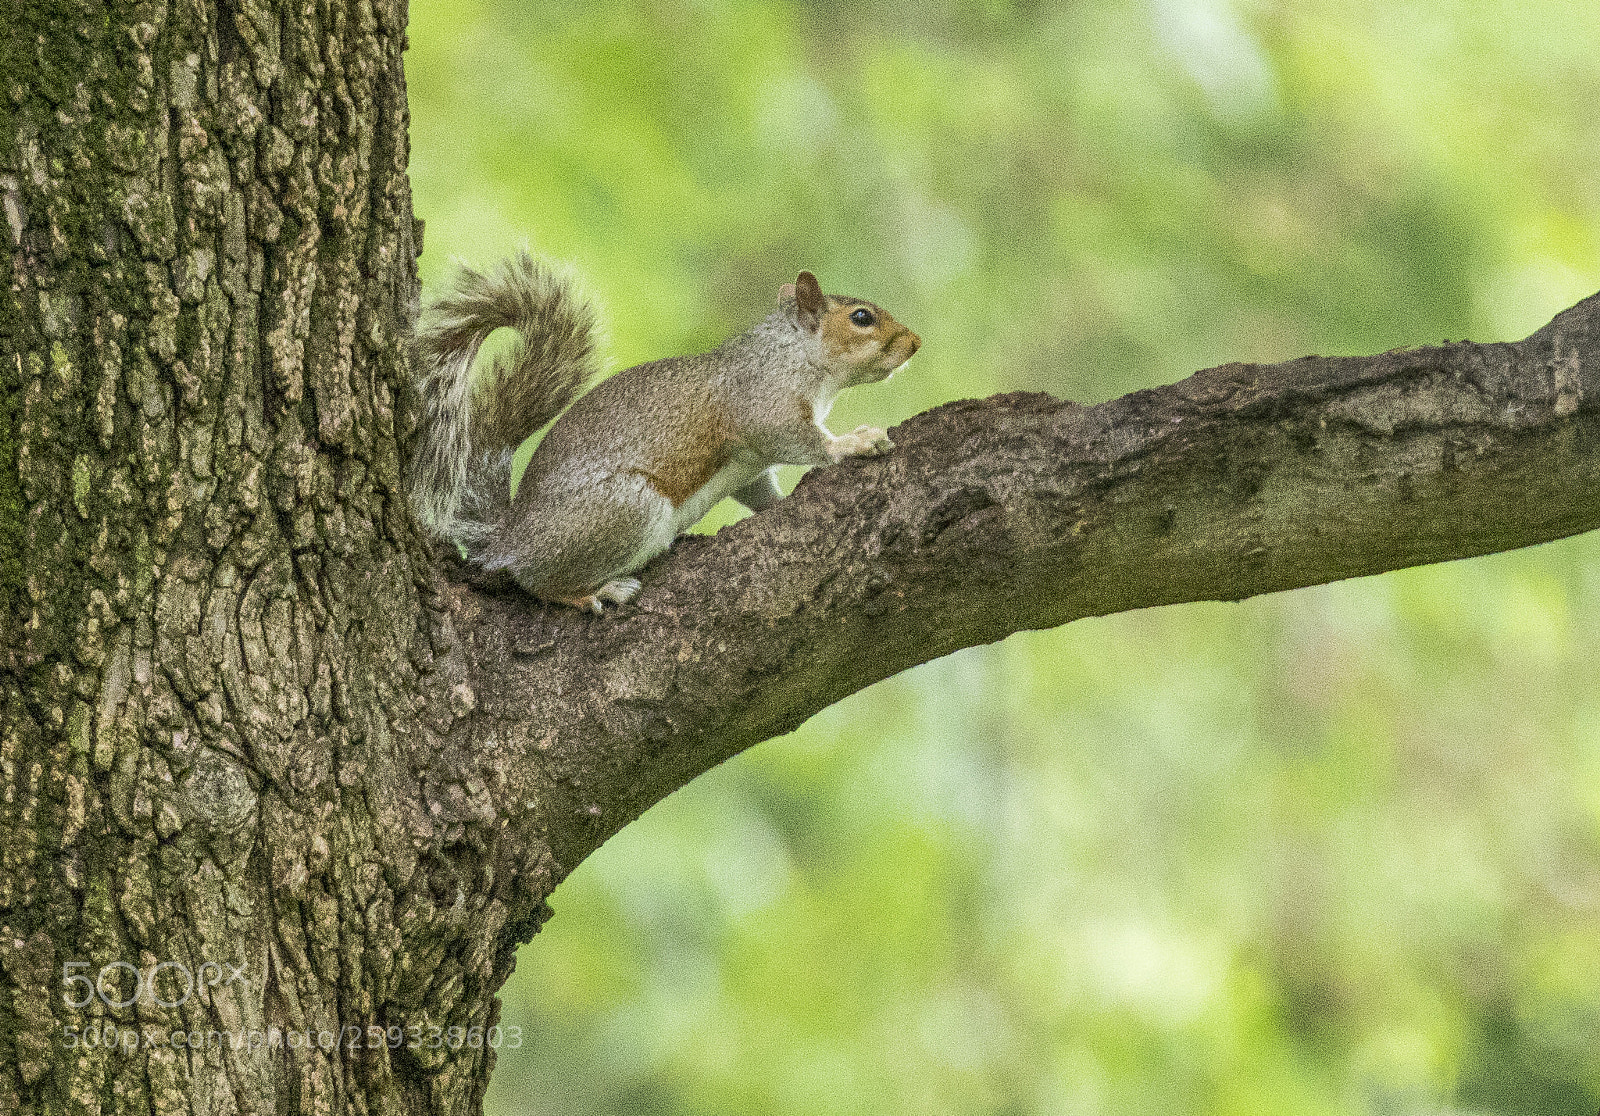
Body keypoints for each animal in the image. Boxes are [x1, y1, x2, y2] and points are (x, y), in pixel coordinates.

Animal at [409, 252, 921, 611]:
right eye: (861, 317)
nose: (916, 343)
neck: (793, 352)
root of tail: (512, 537)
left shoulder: (752, 462)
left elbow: (759, 488)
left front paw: (775, 505)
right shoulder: (762, 405)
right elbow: (802, 441)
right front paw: (852, 443)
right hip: (627, 510)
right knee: (538, 581)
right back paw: (596, 592)